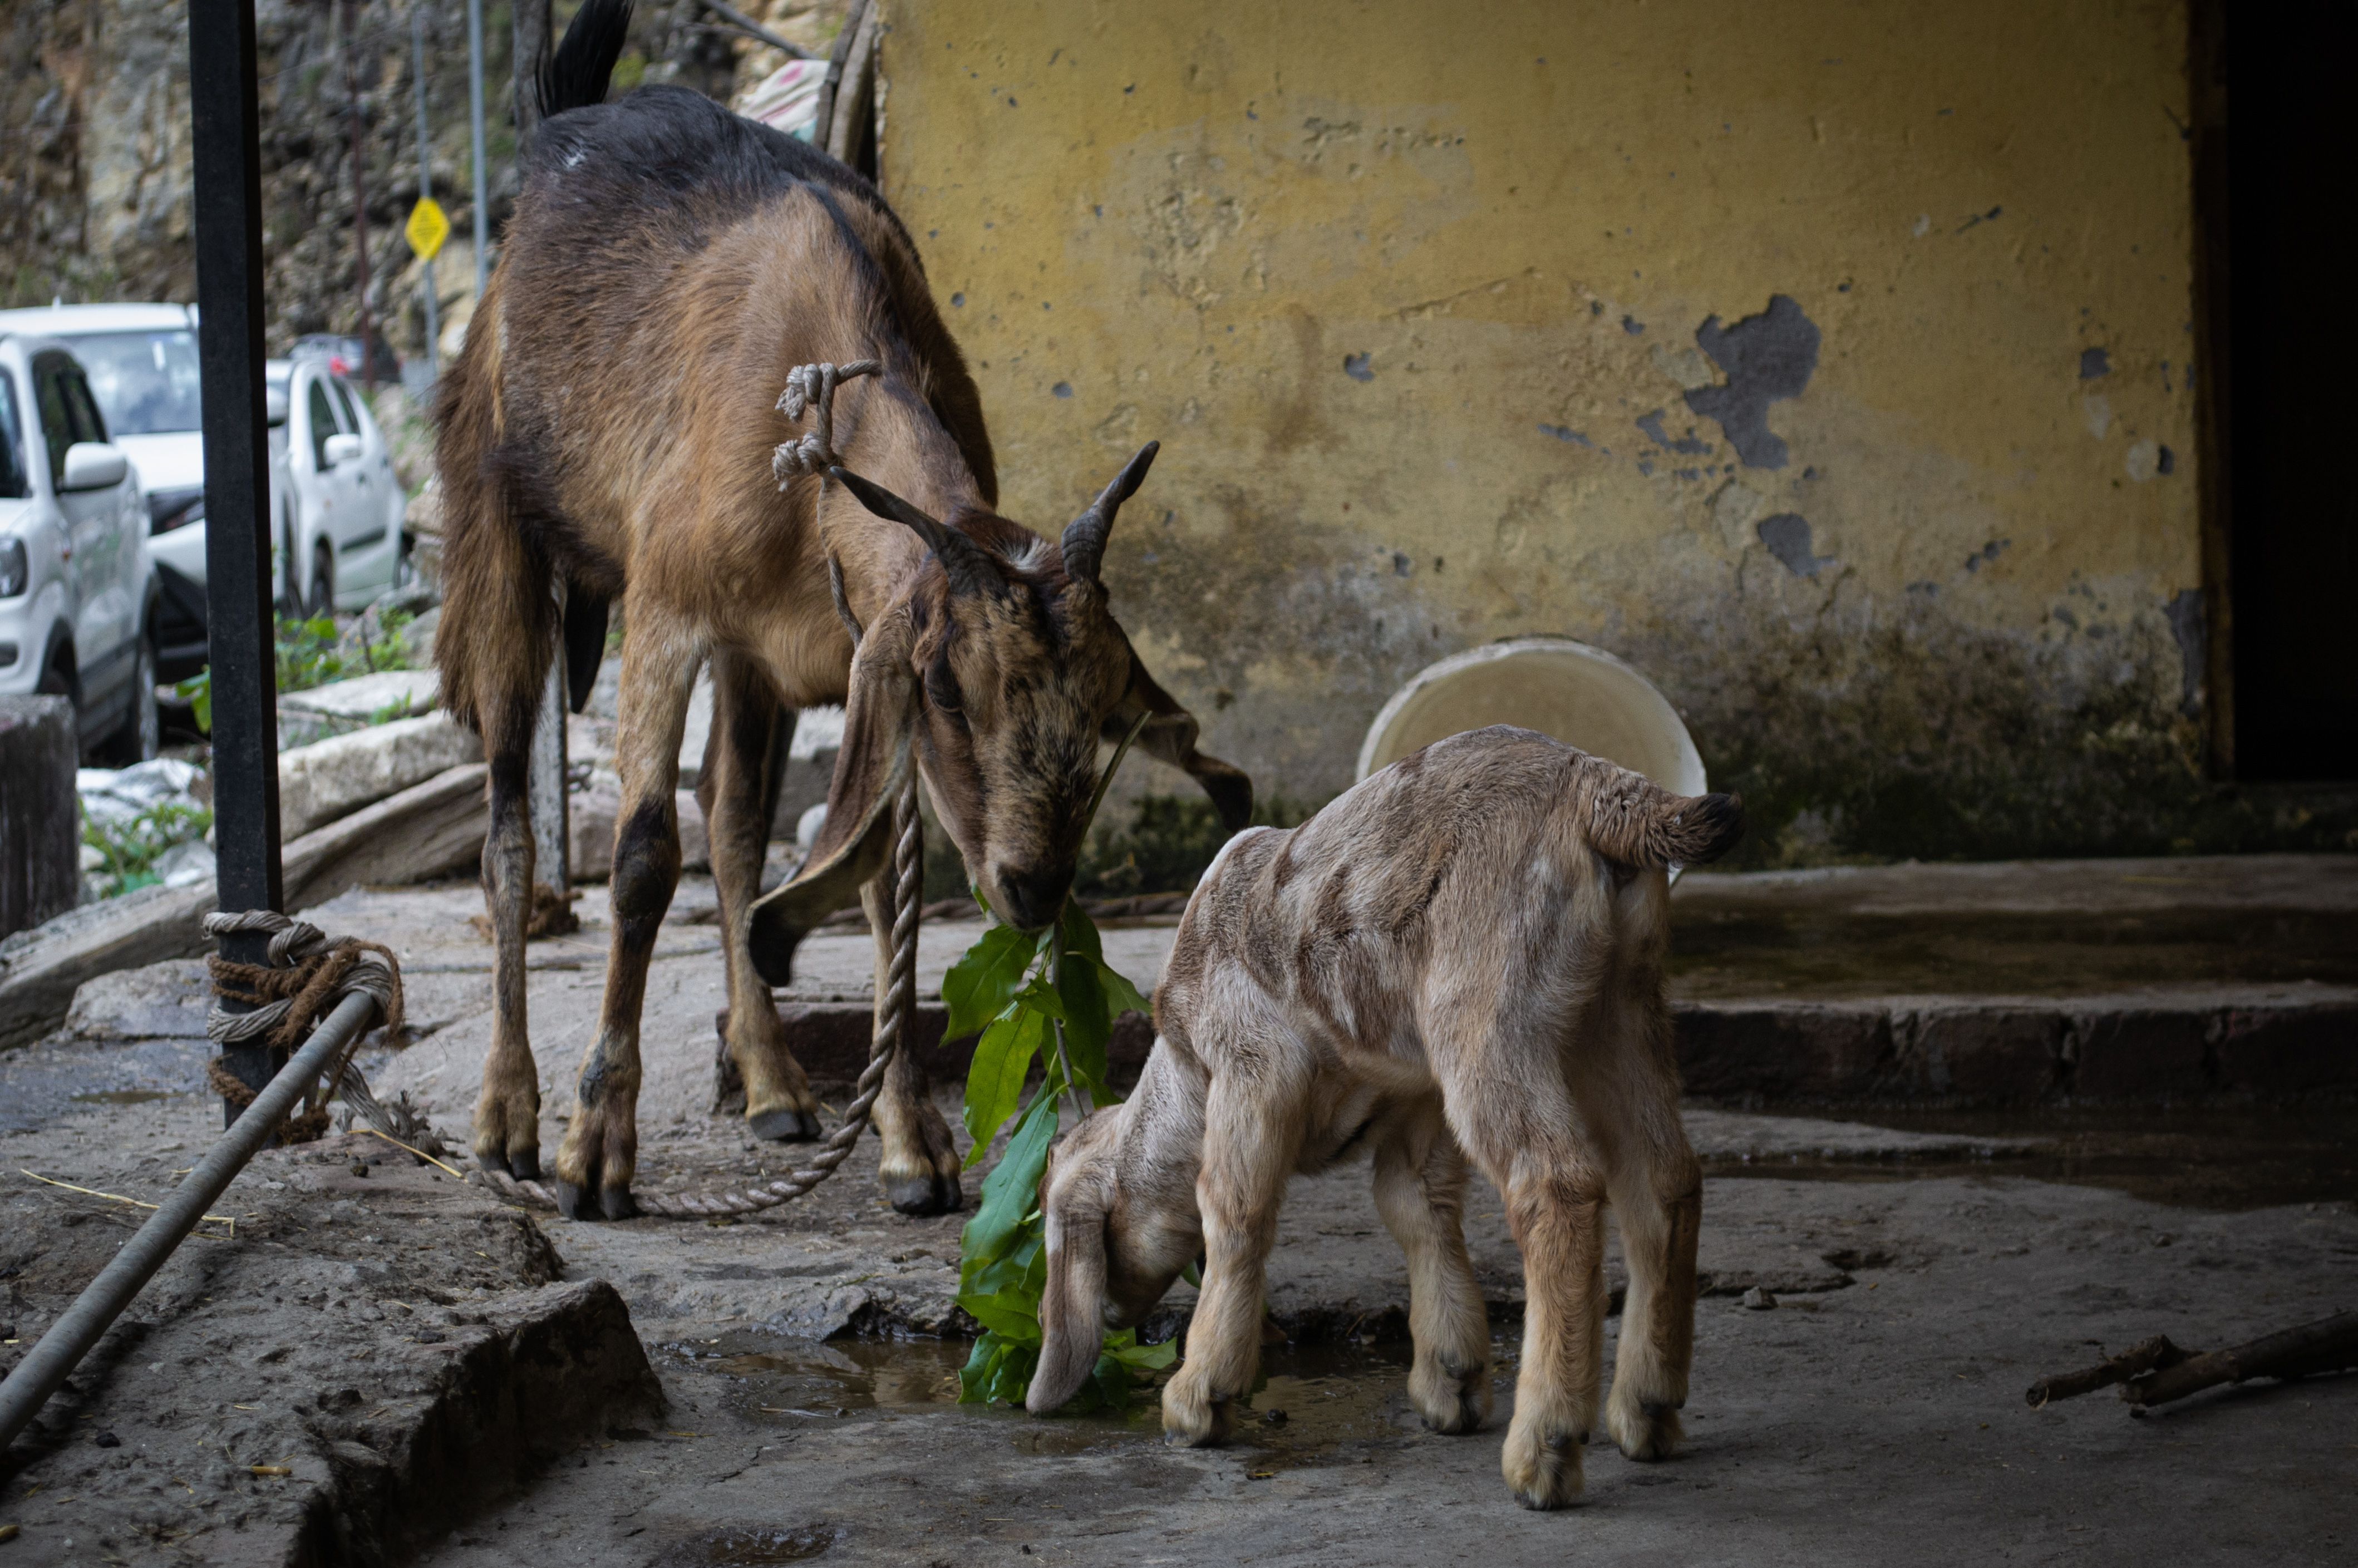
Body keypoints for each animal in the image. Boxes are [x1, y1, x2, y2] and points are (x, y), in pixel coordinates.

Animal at [432, 0, 1250, 1221]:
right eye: (954, 692)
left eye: (1105, 705)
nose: (1034, 886)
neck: (814, 423)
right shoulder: (668, 613)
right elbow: (641, 858)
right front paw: (595, 1147)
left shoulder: (840, 646)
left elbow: (864, 877)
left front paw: (912, 1142)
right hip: (505, 536)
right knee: (511, 827)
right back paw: (508, 1114)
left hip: (755, 664)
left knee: (731, 822)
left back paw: (773, 1085)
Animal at [1027, 726, 1743, 1508]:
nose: (1114, 1320)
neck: (1186, 1072)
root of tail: (1599, 789)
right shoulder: (1415, 1095)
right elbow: (1414, 1205)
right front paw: (1449, 1381)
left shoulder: (1252, 1066)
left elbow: (1233, 1211)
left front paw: (1197, 1398)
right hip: (1620, 1012)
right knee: (1664, 1179)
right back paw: (1647, 1410)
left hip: (1488, 1018)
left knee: (1556, 1183)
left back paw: (1543, 1449)